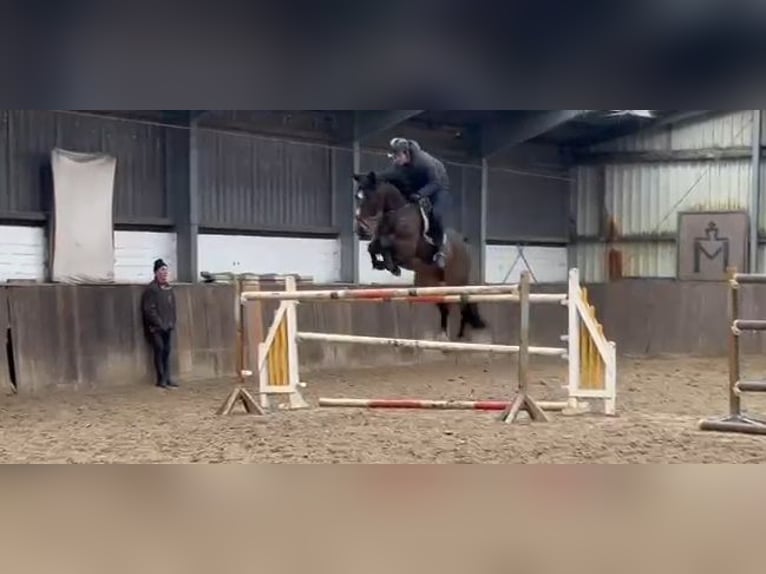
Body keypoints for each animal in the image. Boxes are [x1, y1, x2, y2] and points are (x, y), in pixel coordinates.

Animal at [352, 171, 488, 341]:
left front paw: (391, 267)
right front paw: (380, 264)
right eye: (357, 197)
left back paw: (460, 337)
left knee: (463, 304)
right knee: (445, 306)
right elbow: (373, 247)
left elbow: (385, 245)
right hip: (434, 285)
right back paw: (443, 337)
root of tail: (465, 246)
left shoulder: (406, 250)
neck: (397, 215)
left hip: (456, 281)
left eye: (370, 197)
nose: (360, 230)